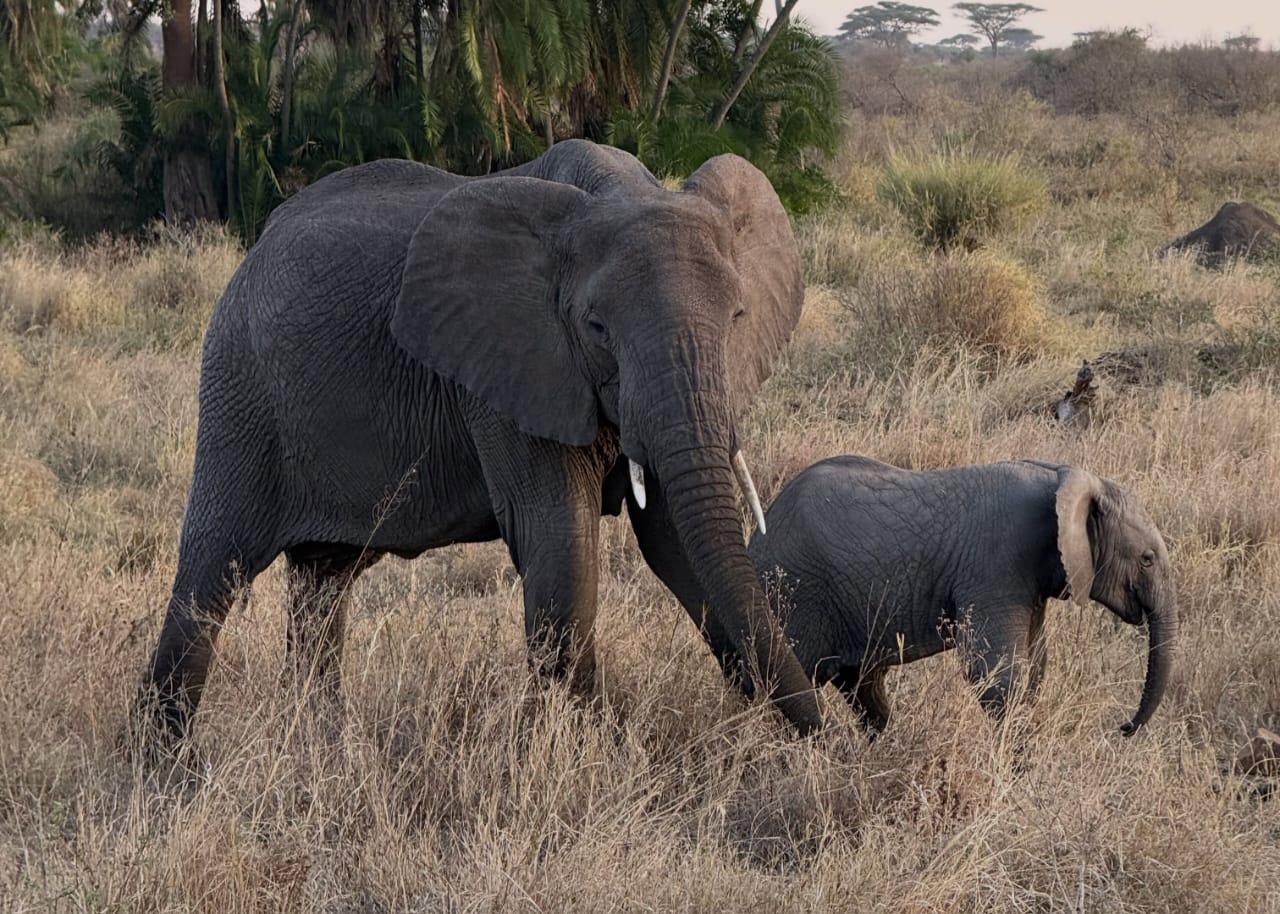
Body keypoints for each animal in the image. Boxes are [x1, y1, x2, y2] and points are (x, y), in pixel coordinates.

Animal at [136, 139, 823, 747]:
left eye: (738, 317)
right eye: (596, 328)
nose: (832, 732)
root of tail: (253, 252)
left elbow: (676, 544)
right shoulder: (506, 372)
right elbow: (562, 551)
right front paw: (599, 752)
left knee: (323, 583)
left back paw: (317, 744)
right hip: (240, 390)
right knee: (213, 571)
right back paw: (168, 769)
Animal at [748, 456, 1177, 736]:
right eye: (1147, 559)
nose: (1122, 727)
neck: (1060, 476)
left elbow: (1035, 669)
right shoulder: (996, 565)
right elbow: (996, 678)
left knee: (864, 686)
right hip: (795, 596)